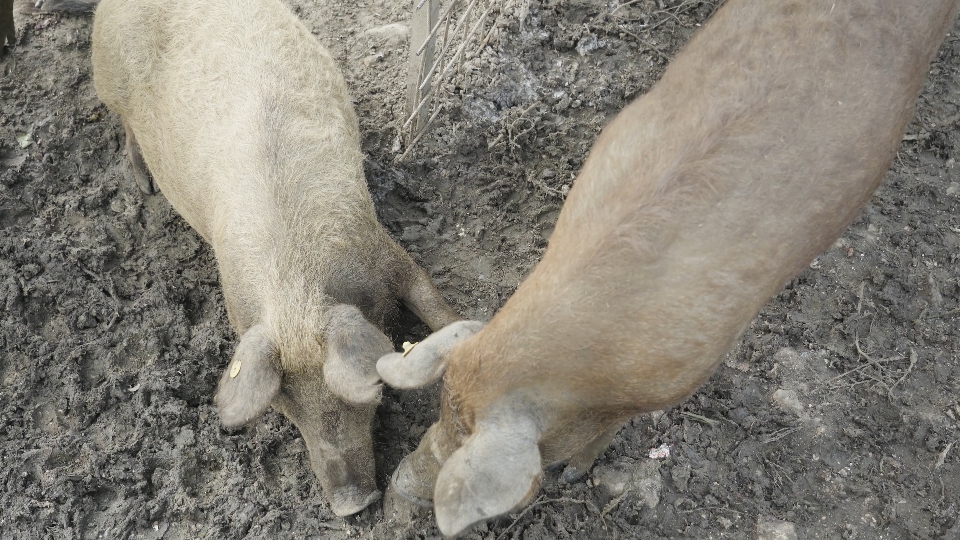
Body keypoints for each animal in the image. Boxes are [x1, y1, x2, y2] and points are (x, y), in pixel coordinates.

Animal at [91, 0, 460, 516]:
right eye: (287, 407)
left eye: (357, 397)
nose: (350, 505)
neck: (294, 292)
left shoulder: (386, 250)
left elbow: (435, 304)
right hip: (109, 85)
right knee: (126, 128)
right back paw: (143, 186)